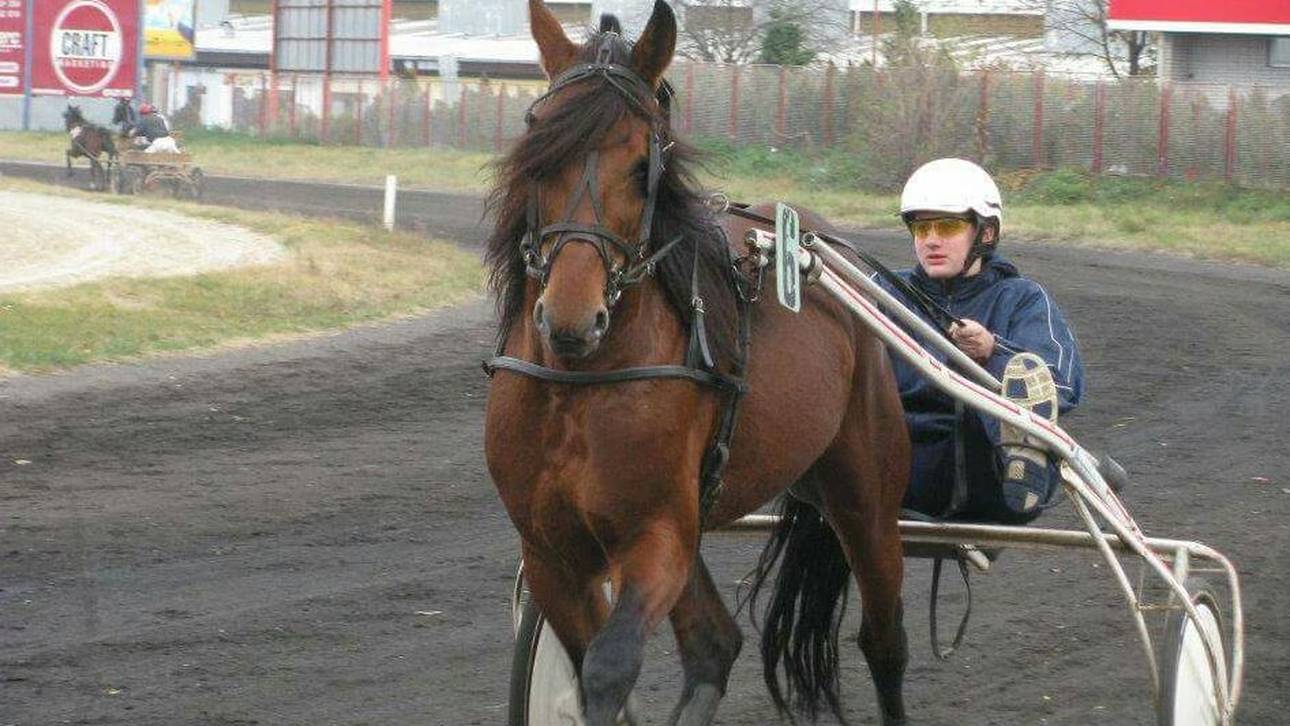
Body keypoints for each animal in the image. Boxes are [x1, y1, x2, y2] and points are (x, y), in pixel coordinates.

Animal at [483, 2, 911, 724]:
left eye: (641, 167)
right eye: (538, 149)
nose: (570, 318)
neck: (576, 385)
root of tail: (822, 241)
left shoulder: (656, 535)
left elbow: (608, 667)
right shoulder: (550, 551)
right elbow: (583, 666)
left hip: (866, 491)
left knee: (884, 642)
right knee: (716, 642)